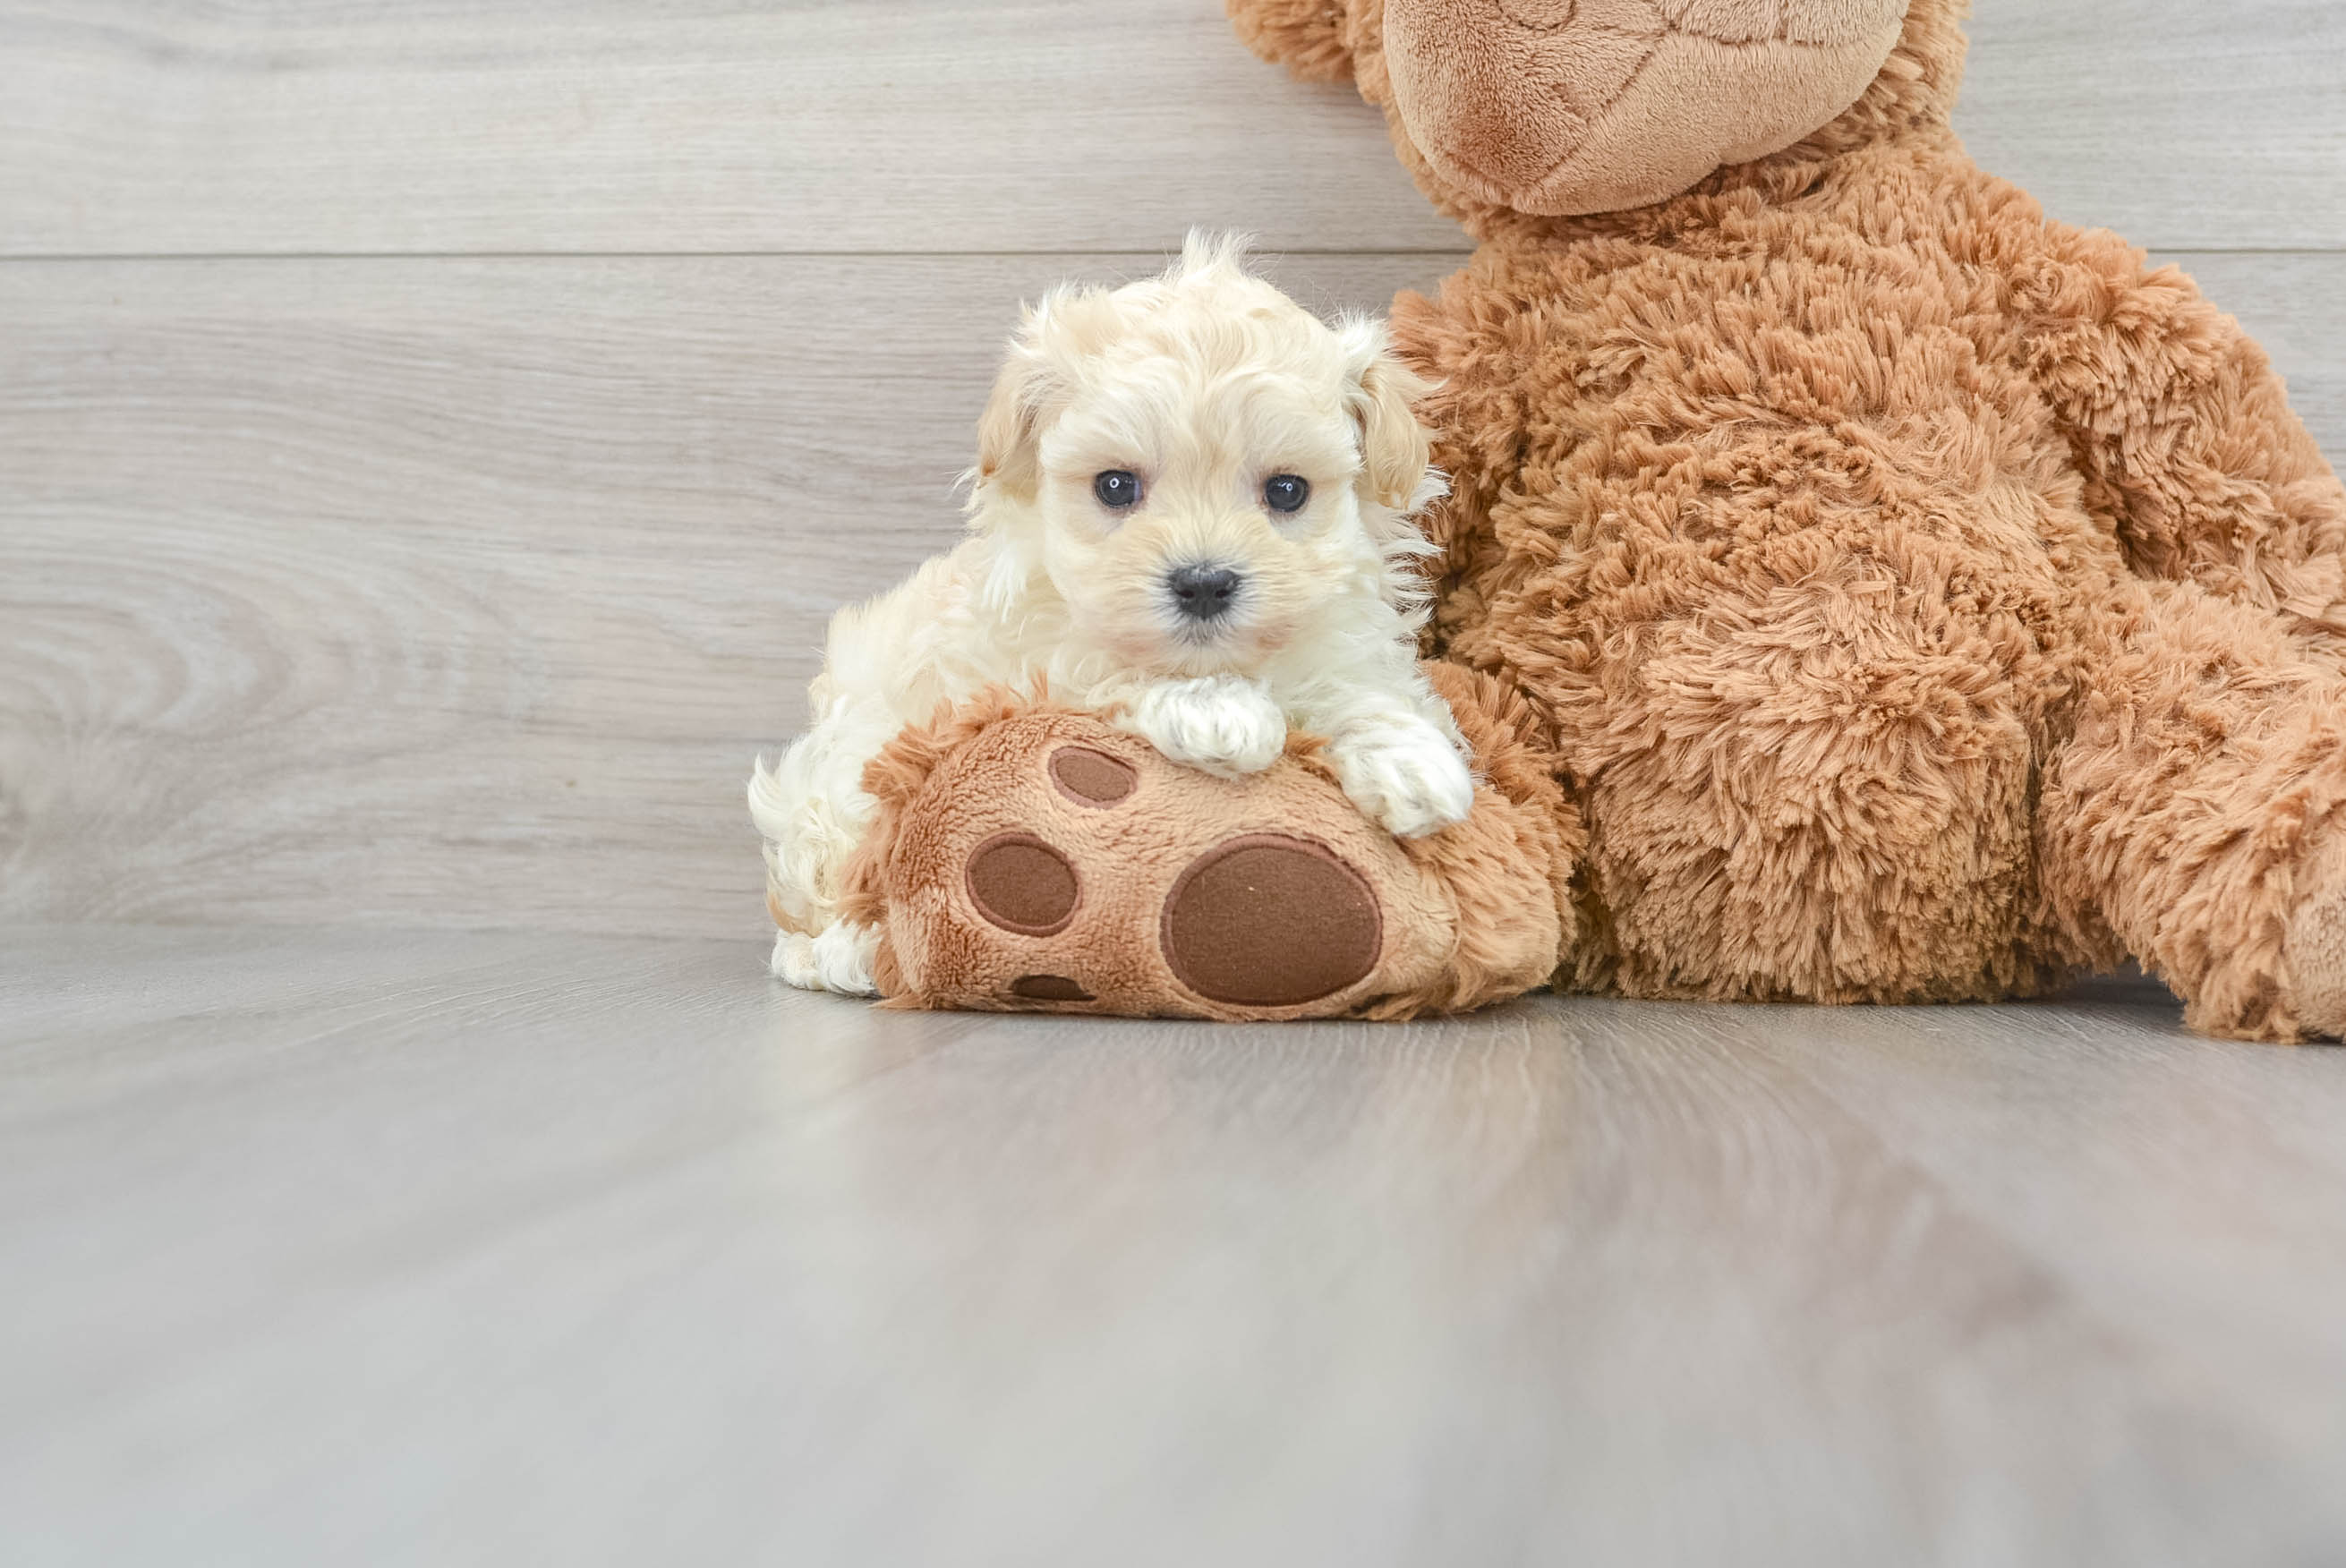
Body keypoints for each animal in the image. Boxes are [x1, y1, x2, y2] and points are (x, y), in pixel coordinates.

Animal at [746, 232, 1463, 990]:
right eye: (1115, 486)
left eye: (1288, 491)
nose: (1203, 582)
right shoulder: (1026, 662)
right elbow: (1107, 667)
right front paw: (1216, 711)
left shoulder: (1337, 635)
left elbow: (1360, 687)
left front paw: (1413, 761)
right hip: (833, 798)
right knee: (814, 913)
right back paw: (850, 954)